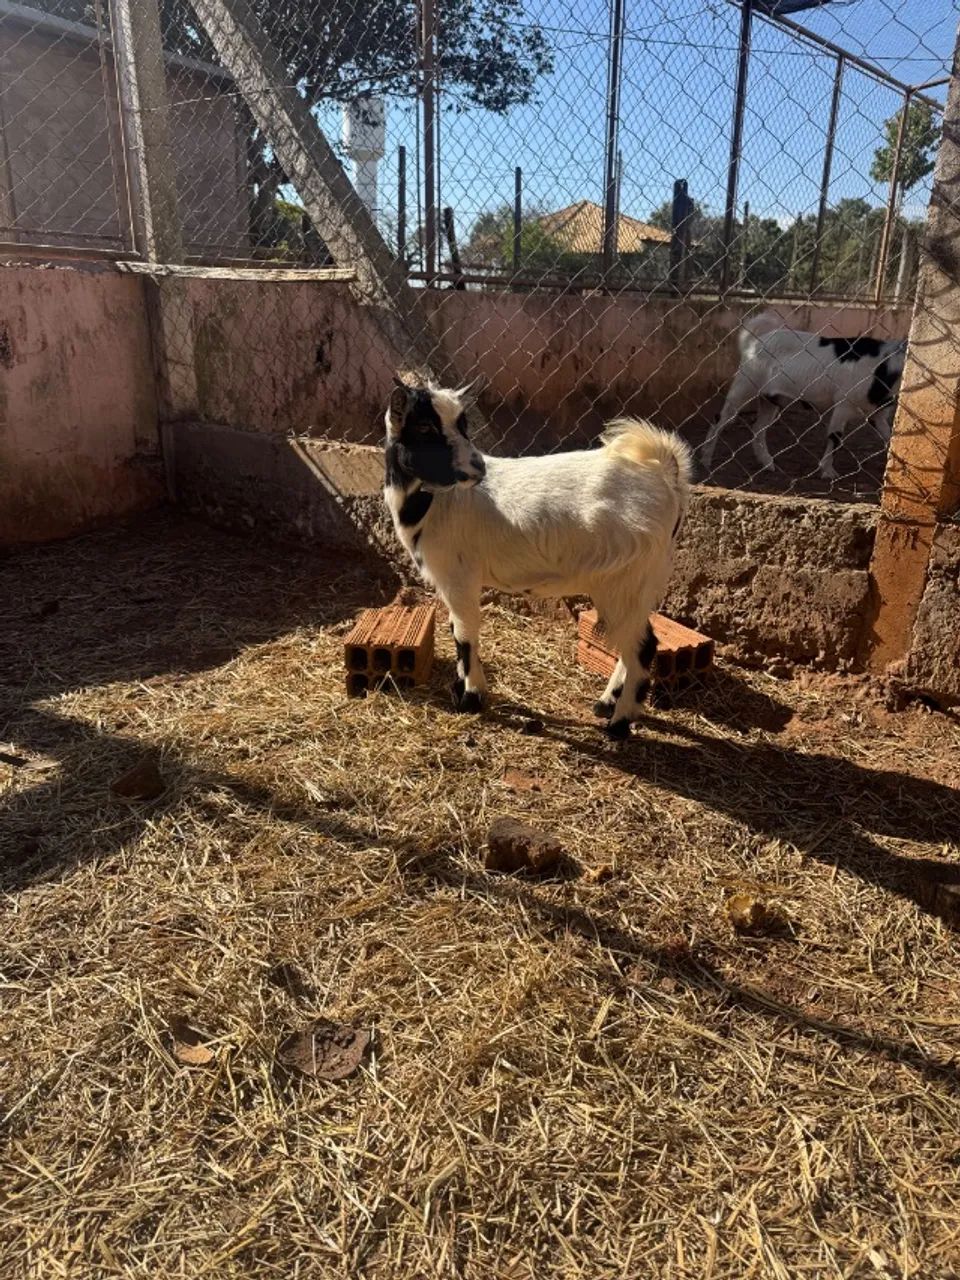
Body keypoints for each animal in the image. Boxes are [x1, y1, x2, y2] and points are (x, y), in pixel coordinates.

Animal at [383, 378, 691, 738]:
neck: (436, 503)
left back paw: (619, 724)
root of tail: (664, 472)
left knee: (642, 646)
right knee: (634, 641)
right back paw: (605, 704)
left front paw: (471, 698)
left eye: (463, 424)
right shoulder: (448, 581)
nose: (478, 468)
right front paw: (461, 689)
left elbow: (465, 634)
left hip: (626, 580)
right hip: (634, 584)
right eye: (424, 426)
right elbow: (455, 629)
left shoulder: (458, 577)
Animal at [699, 312, 906, 481]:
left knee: (758, 427)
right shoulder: (843, 403)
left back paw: (769, 465)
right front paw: (829, 473)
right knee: (721, 419)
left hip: (771, 398)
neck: (883, 368)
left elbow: (890, 437)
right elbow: (835, 438)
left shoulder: (878, 413)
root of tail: (756, 340)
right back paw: (706, 461)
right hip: (745, 385)